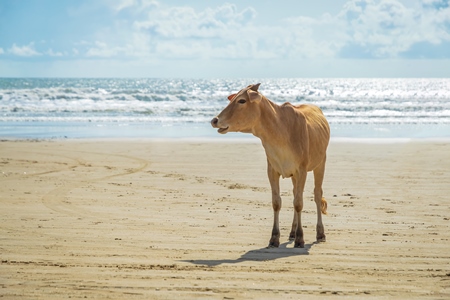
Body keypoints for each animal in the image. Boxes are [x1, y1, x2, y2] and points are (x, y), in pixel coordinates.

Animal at [211, 83, 330, 247]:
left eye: (241, 100)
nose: (215, 120)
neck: (280, 131)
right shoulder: (272, 170)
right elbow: (277, 202)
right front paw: (275, 237)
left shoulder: (302, 170)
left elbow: (299, 203)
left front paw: (300, 238)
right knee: (295, 193)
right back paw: (292, 232)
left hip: (320, 163)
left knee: (317, 195)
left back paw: (320, 233)